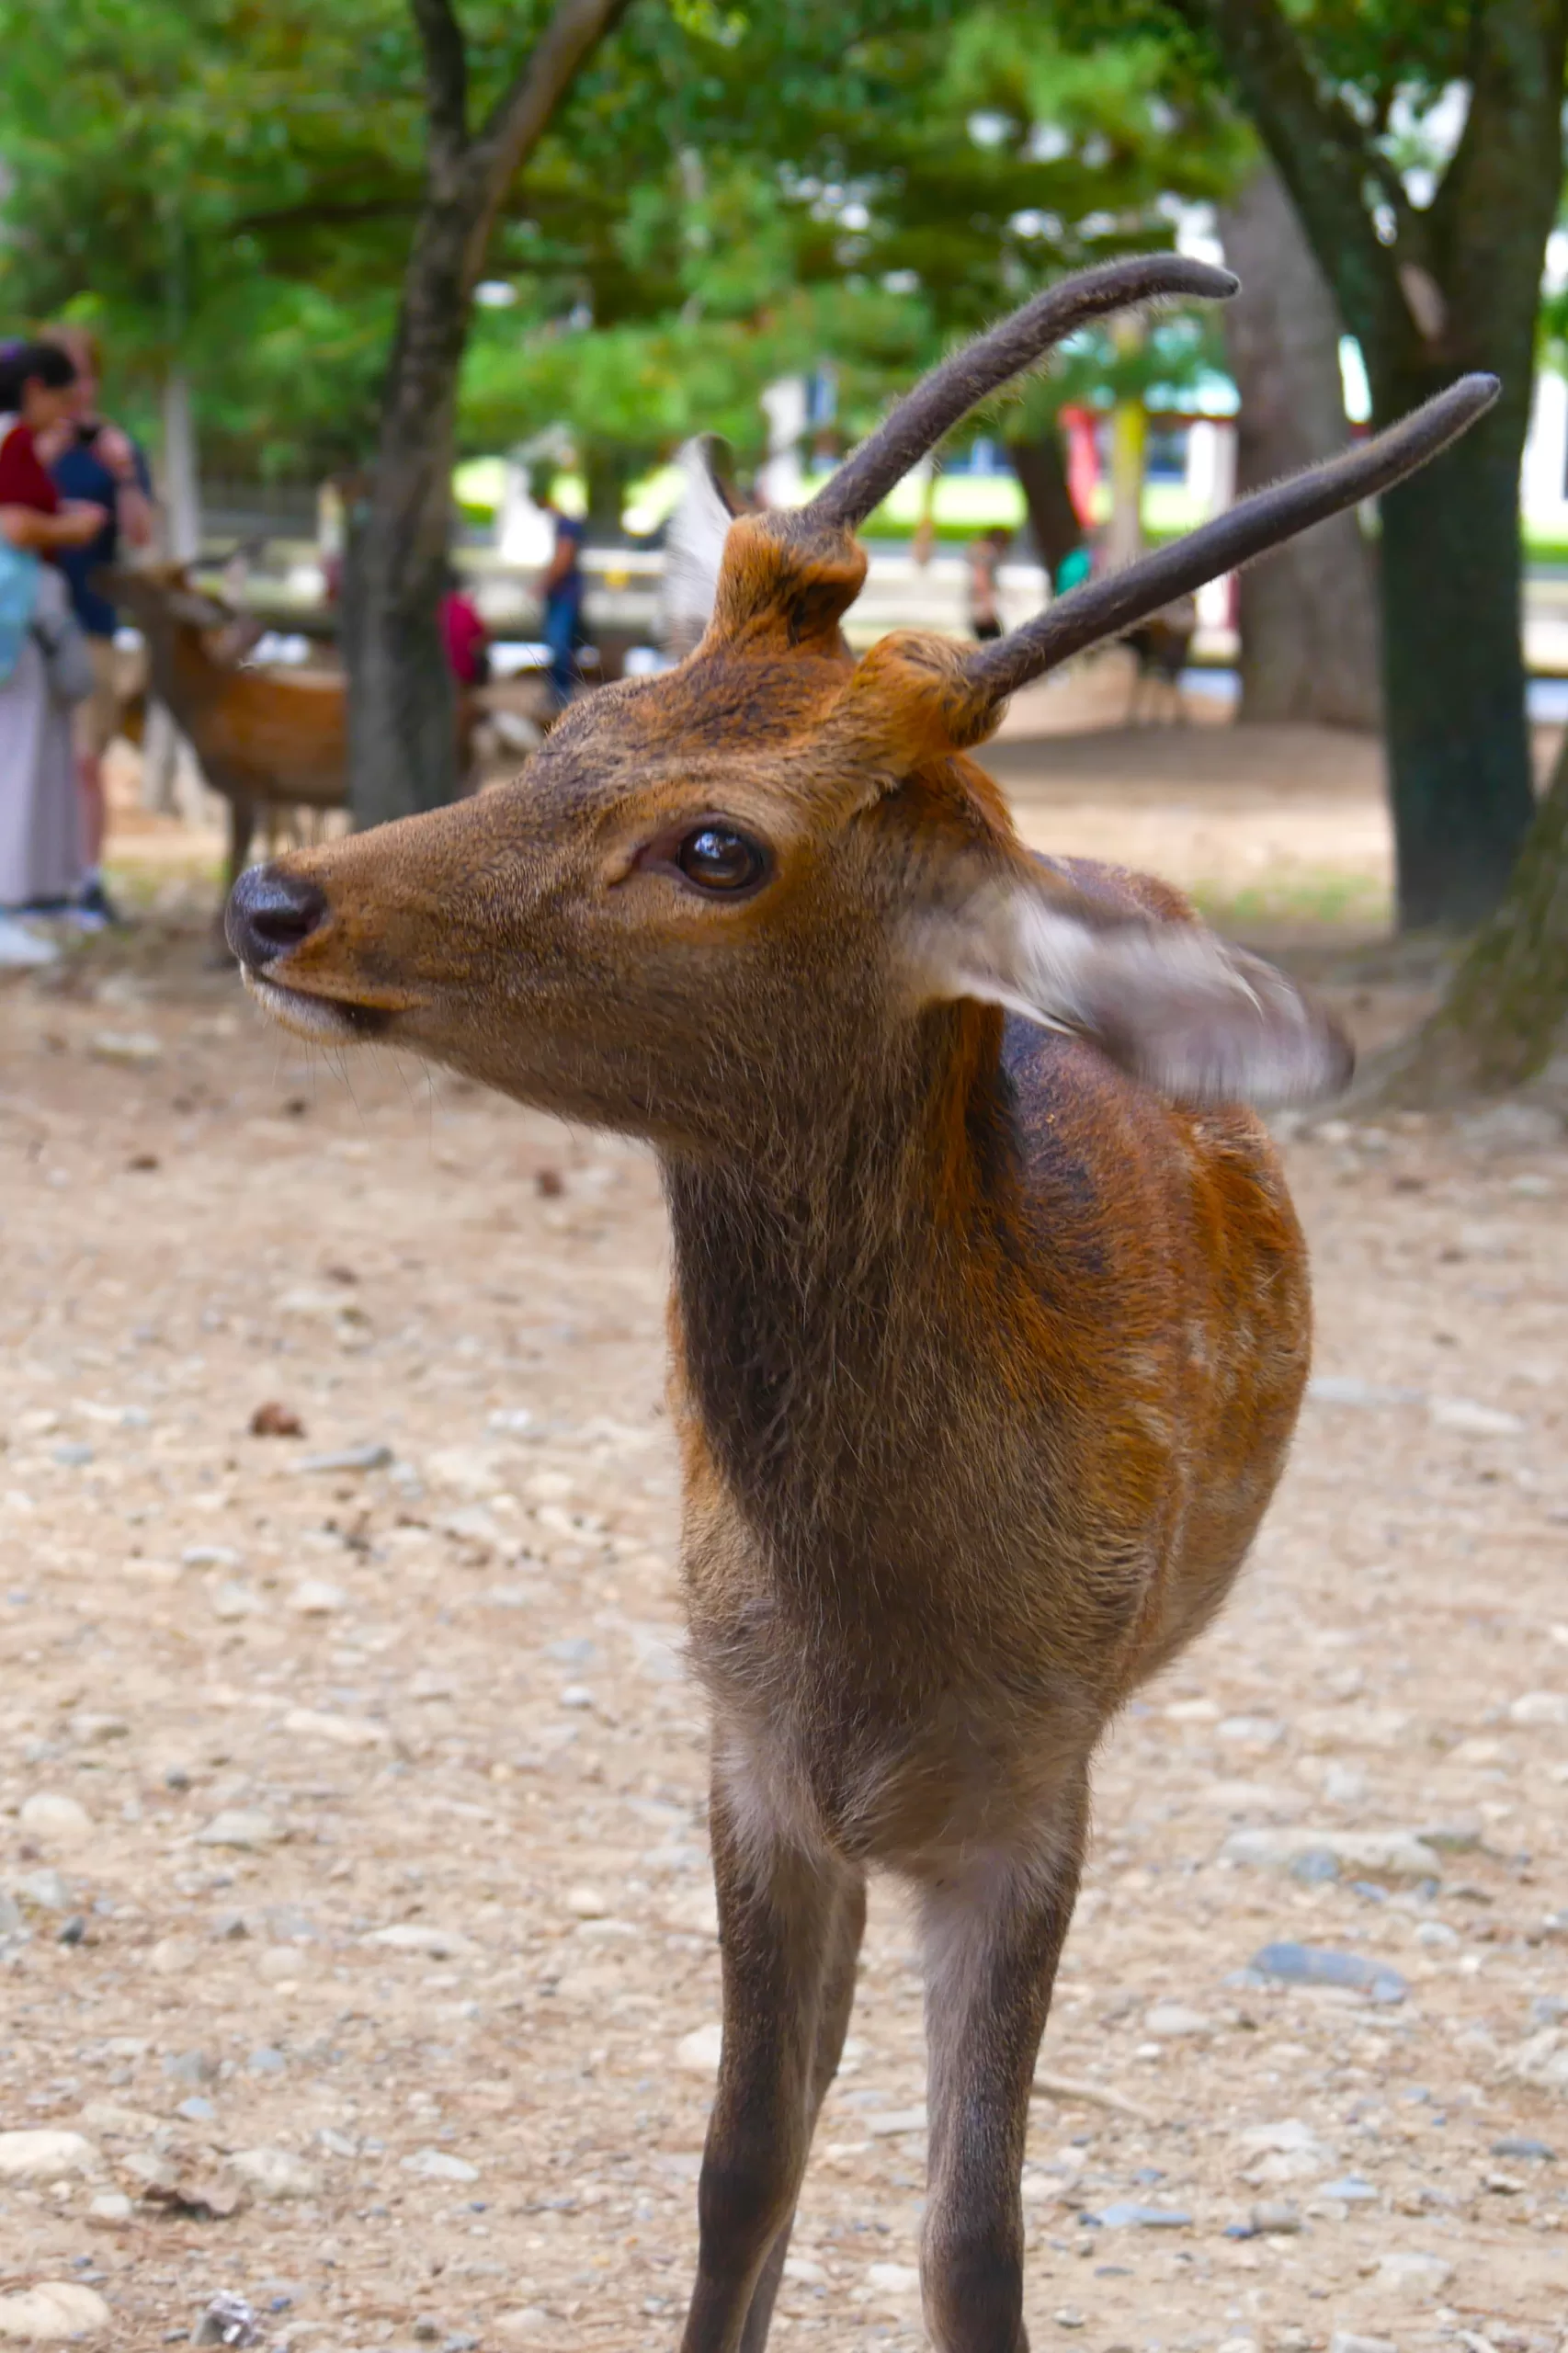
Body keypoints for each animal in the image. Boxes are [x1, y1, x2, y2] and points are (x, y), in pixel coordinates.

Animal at [222, 257, 1487, 2353]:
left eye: (719, 844)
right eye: (579, 710)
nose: (273, 903)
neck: (882, 1640)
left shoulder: (1031, 1793)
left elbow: (970, 2235)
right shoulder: (746, 1758)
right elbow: (744, 2165)